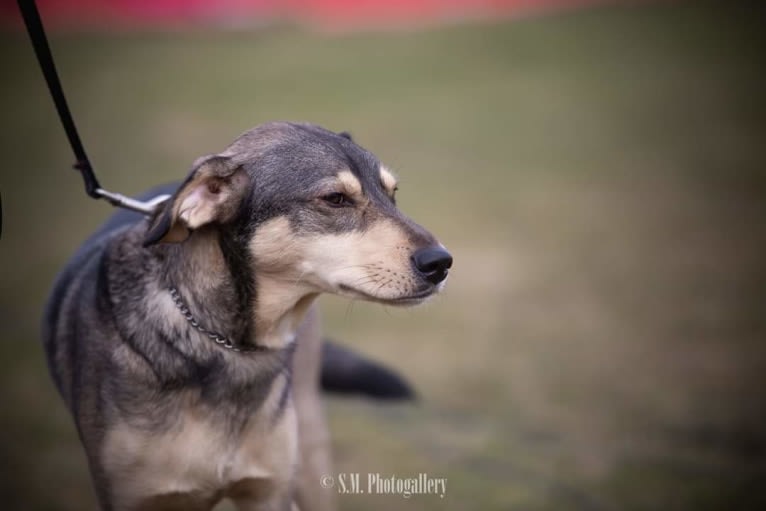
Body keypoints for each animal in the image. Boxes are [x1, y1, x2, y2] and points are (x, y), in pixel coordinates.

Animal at [45, 121, 452, 511]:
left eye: (392, 193)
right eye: (335, 199)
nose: (441, 263)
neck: (225, 345)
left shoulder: (269, 492)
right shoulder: (133, 497)